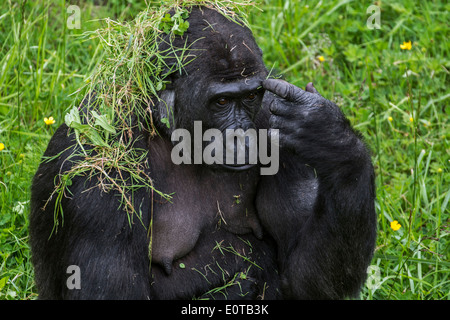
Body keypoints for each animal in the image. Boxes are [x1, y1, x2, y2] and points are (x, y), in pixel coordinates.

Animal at [29, 5, 378, 300]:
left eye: (250, 96)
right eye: (221, 101)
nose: (241, 135)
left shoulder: (275, 117)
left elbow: (303, 277)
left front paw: (333, 142)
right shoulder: (99, 170)